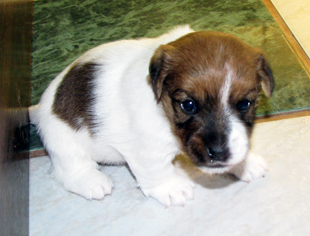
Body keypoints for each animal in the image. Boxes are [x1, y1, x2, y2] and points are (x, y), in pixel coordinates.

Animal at [30, 25, 274, 206]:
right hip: (62, 142)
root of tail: (42, 105)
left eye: (244, 104)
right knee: (69, 168)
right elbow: (156, 169)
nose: (218, 152)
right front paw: (171, 187)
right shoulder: (147, 148)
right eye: (188, 105)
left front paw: (245, 163)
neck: (164, 113)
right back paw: (90, 180)